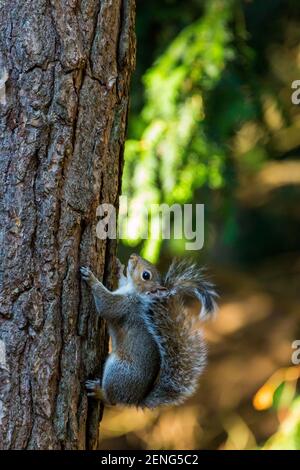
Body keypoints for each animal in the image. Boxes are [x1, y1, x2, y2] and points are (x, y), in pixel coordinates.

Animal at [81, 253, 217, 408]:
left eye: (146, 275)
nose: (133, 256)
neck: (136, 293)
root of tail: (135, 400)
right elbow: (122, 281)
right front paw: (118, 267)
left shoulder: (125, 306)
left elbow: (106, 305)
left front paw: (91, 279)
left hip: (118, 371)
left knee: (112, 399)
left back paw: (98, 391)